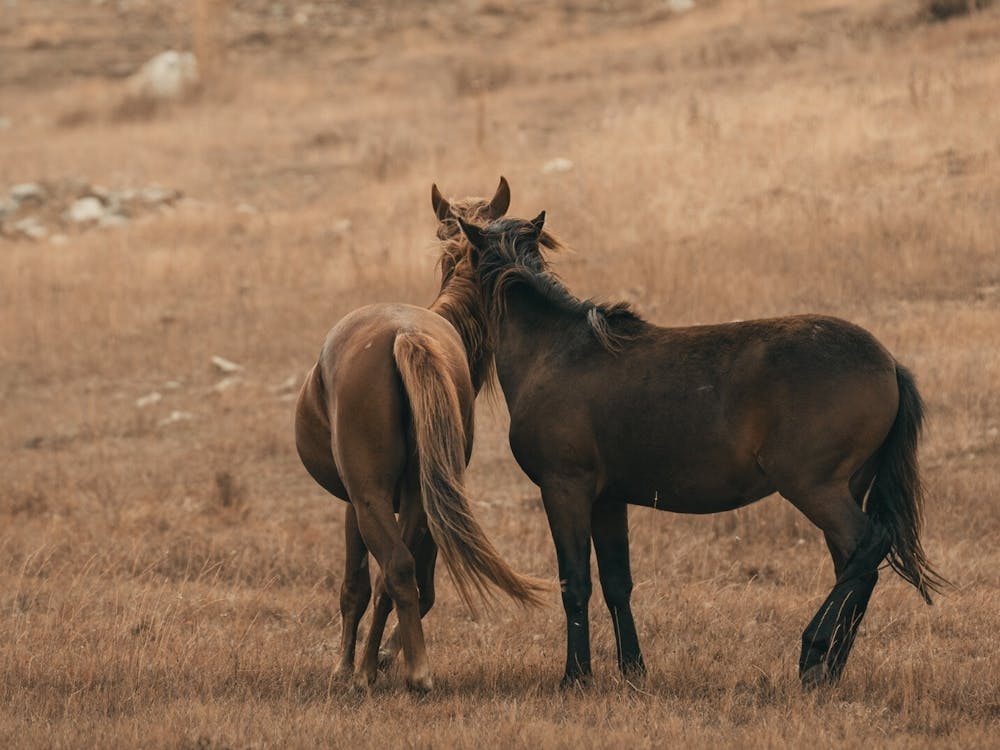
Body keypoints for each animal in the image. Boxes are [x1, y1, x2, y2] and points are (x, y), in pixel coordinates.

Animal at [294, 178, 545, 692]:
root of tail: (406, 335)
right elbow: (413, 588)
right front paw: (378, 658)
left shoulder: (353, 502)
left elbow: (355, 587)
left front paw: (349, 666)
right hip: (417, 495)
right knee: (404, 574)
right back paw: (398, 667)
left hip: (373, 497)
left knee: (393, 569)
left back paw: (404, 672)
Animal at [456, 211, 948, 689]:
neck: (554, 351)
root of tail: (889, 363)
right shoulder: (608, 501)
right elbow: (617, 584)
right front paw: (633, 670)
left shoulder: (565, 490)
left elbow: (574, 584)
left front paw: (575, 677)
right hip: (847, 487)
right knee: (856, 566)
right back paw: (830, 667)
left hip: (815, 488)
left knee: (868, 547)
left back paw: (814, 652)